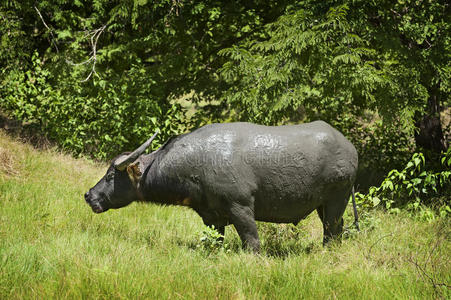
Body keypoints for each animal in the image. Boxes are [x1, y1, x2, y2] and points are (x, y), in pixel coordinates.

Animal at [85, 120, 360, 252]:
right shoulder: (211, 217)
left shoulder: (241, 208)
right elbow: (215, 241)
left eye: (110, 175)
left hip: (337, 200)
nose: (89, 195)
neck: (197, 163)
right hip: (324, 205)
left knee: (331, 231)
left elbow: (252, 241)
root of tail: (350, 147)